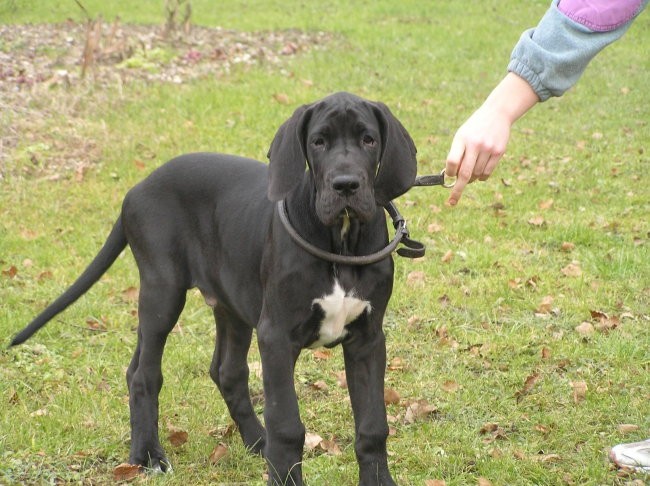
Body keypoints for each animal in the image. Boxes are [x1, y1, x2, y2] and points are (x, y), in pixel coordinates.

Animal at [12, 92, 418, 486]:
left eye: (368, 139)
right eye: (318, 142)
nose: (346, 184)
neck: (341, 241)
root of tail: (137, 188)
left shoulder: (368, 338)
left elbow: (372, 426)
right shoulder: (276, 336)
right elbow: (287, 425)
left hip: (230, 303)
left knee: (223, 371)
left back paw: (256, 442)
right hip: (162, 291)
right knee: (145, 374)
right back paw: (148, 456)